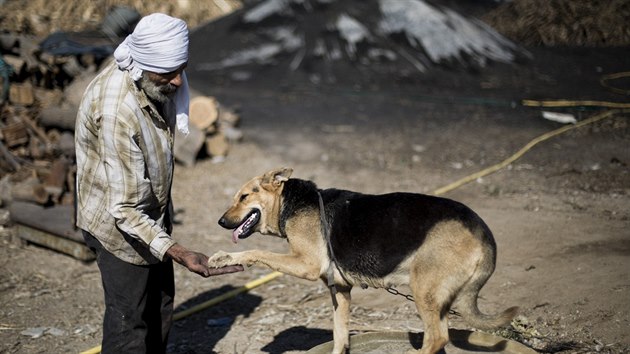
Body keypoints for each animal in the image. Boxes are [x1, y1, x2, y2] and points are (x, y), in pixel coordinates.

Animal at [207, 169, 520, 354]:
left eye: (243, 197)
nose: (220, 222)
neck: (291, 203)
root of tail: (483, 232)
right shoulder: (340, 292)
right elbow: (340, 335)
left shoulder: (305, 264)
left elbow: (258, 254)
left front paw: (226, 257)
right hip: (438, 298)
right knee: (440, 338)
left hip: (424, 293)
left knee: (437, 338)